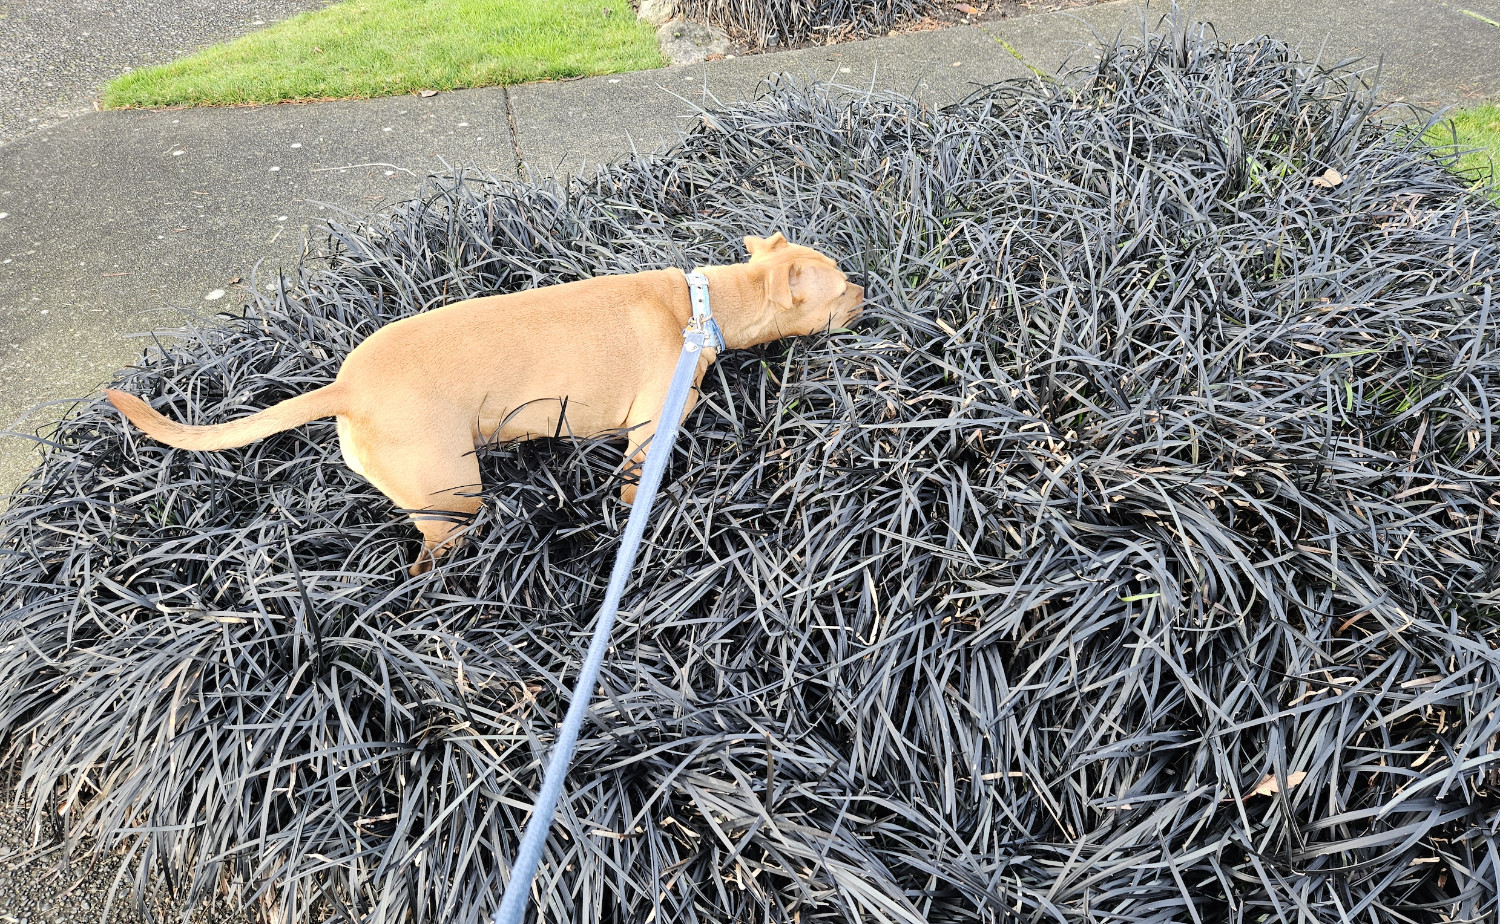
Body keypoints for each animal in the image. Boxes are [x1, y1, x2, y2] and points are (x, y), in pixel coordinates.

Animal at [108, 232, 870, 570]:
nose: (870, 289)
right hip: (452, 495)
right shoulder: (649, 433)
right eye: (841, 285)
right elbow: (634, 488)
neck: (702, 307)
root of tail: (347, 387)